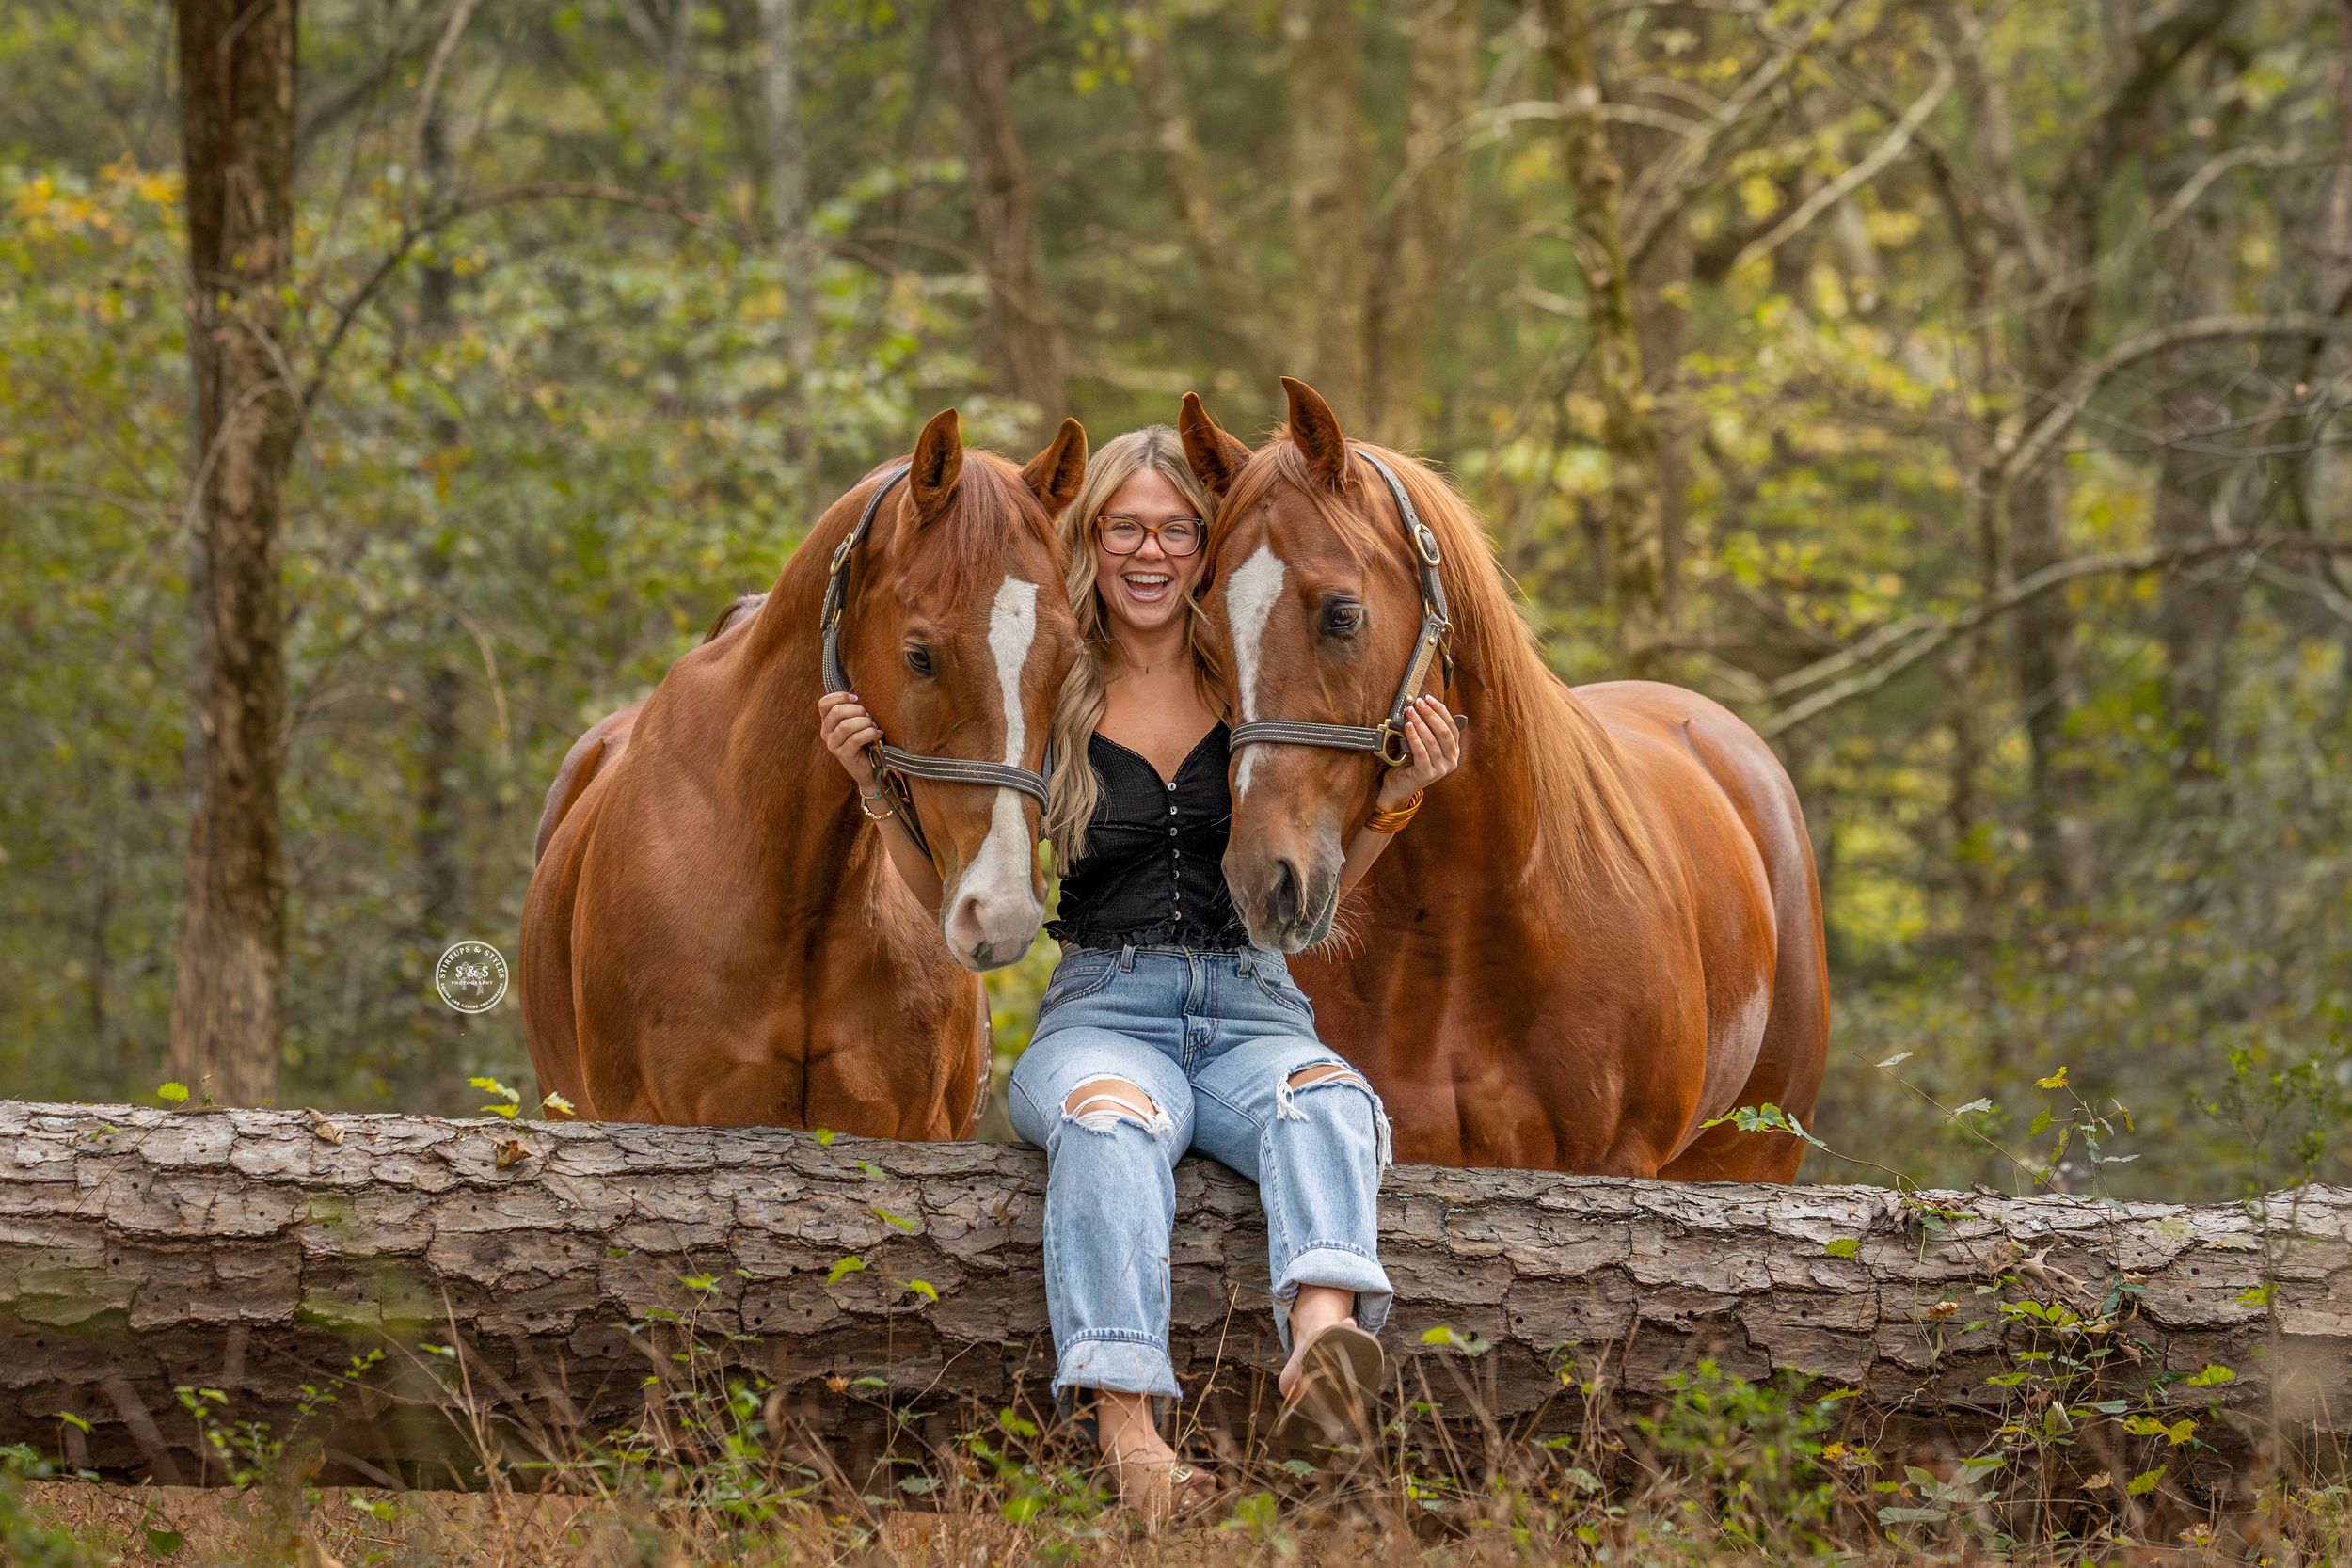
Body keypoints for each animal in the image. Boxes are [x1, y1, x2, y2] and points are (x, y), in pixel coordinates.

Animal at [1179, 379, 1828, 1181]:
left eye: (1342, 614)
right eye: (1205, 641)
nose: (1260, 881)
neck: (1465, 920)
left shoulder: (1616, 1165)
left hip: (1752, 1155)